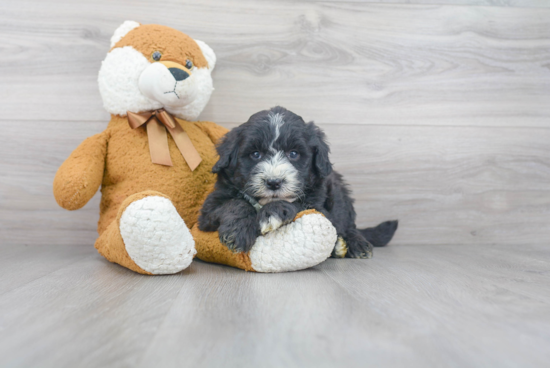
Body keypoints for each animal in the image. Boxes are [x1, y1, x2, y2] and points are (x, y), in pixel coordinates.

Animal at [201, 105, 398, 258]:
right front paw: (237, 232)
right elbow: (235, 204)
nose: (274, 182)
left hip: (340, 196)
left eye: (293, 154)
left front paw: (272, 212)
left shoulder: (319, 208)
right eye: (255, 154)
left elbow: (298, 205)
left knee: (348, 225)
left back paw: (356, 244)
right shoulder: (207, 211)